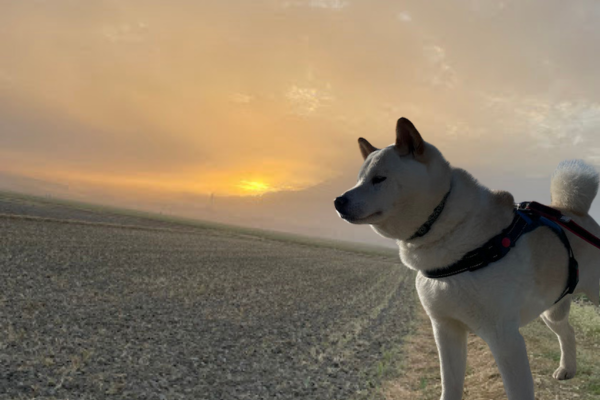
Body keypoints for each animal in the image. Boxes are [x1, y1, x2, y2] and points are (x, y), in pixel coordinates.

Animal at [332, 118, 600, 400]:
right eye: (359, 180)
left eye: (379, 179)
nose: (338, 201)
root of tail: (575, 213)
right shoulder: (445, 329)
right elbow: (450, 385)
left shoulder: (505, 338)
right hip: (551, 310)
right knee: (568, 332)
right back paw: (567, 369)